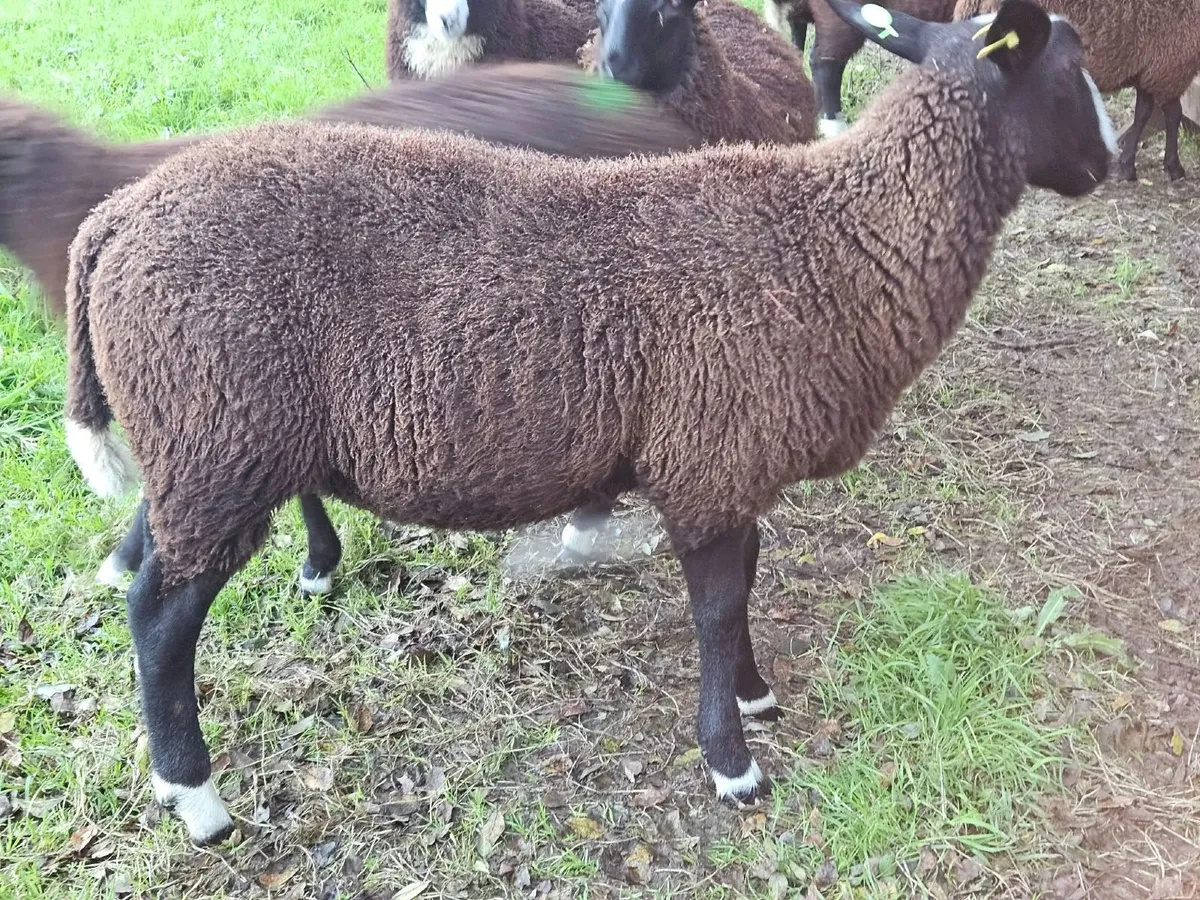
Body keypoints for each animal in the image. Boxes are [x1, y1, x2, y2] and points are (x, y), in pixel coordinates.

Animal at [953, 0, 1200, 181]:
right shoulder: (1168, 67)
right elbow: (1172, 114)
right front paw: (1173, 167)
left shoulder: (1151, 70)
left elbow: (1142, 114)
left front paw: (1127, 165)